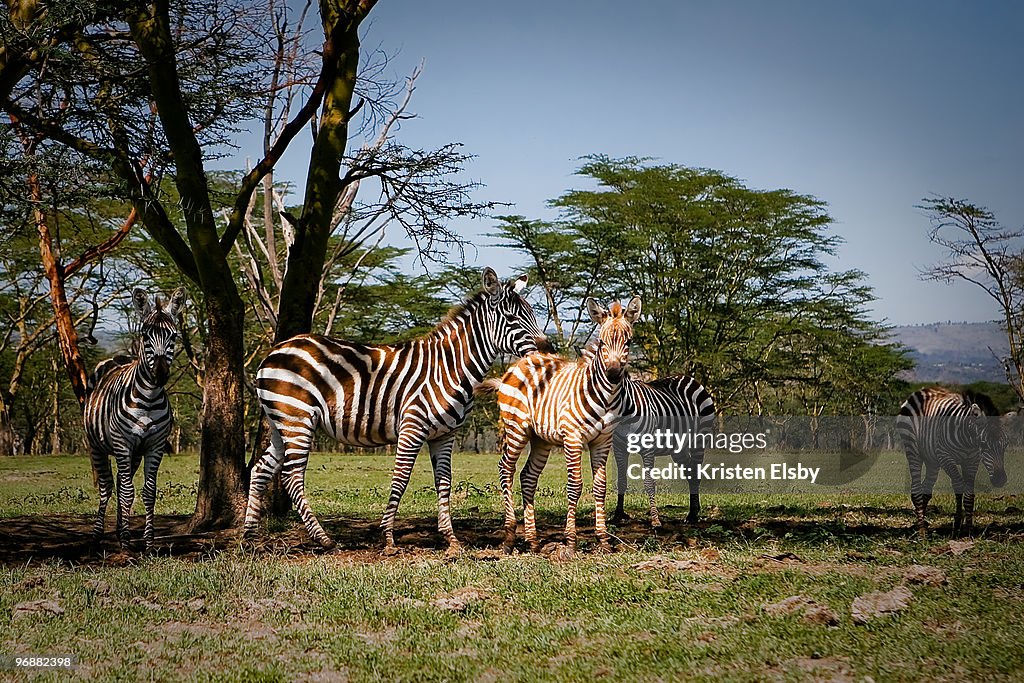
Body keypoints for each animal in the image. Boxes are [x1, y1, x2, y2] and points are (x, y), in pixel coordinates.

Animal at [84, 286, 185, 548]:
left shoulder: (154, 445)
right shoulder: (123, 443)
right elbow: (127, 492)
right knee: (108, 487)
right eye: (145, 335)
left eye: (174, 337)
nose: (160, 374)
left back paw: (120, 530)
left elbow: (147, 492)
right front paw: (128, 542)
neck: (148, 400)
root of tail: (118, 357)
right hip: (96, 445)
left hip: (134, 454)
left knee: (121, 483)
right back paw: (98, 534)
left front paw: (148, 541)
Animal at [243, 266, 552, 557]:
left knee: (260, 470)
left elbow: (444, 482)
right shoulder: (412, 427)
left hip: (280, 425)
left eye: (532, 313)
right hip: (298, 419)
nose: (548, 347)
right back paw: (325, 540)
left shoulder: (445, 434)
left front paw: (451, 540)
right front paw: (389, 539)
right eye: (512, 318)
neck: (450, 367)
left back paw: (249, 539)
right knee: (292, 477)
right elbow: (401, 479)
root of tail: (274, 351)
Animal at [481, 296, 638, 557]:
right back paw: (509, 538)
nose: (614, 374)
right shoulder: (572, 437)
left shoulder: (602, 440)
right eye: (602, 342)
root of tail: (518, 362)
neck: (605, 395)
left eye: (629, 341)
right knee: (506, 469)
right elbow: (575, 486)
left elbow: (600, 486)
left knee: (528, 477)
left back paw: (533, 541)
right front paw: (571, 542)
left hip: (541, 439)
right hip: (516, 429)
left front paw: (603, 540)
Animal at [897, 387, 1007, 536]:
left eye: (1006, 445)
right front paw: (957, 525)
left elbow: (968, 495)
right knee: (916, 489)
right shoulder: (945, 457)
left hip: (932, 460)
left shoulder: (972, 461)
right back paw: (922, 530)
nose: (1000, 480)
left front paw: (968, 529)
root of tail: (923, 390)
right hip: (913, 449)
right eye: (984, 445)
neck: (968, 440)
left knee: (926, 489)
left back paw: (921, 523)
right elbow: (959, 486)